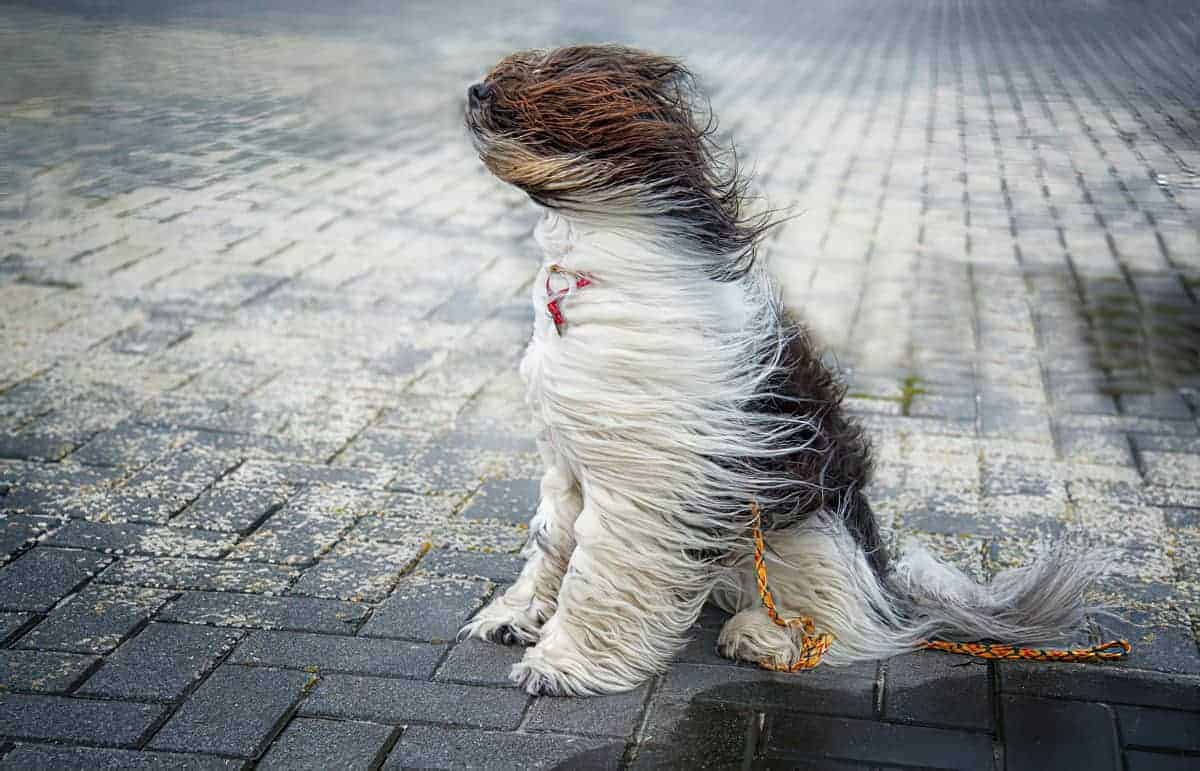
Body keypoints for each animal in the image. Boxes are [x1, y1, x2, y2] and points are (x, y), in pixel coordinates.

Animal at [458, 43, 1104, 696]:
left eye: (542, 84)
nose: (476, 90)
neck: (592, 266)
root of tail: (886, 585)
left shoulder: (642, 482)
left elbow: (596, 565)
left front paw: (562, 663)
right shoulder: (568, 461)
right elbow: (551, 539)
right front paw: (517, 615)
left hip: (808, 531)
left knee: (844, 619)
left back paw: (766, 636)